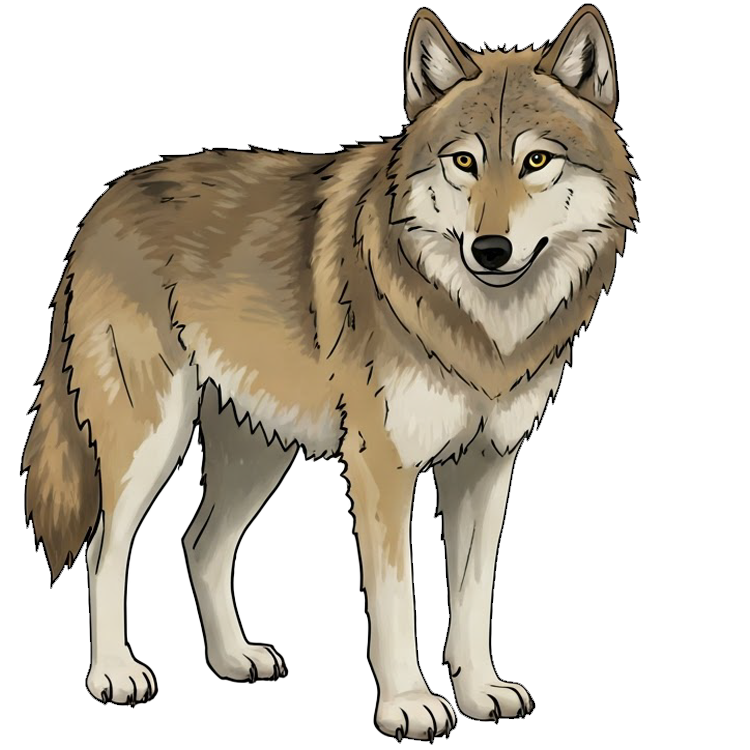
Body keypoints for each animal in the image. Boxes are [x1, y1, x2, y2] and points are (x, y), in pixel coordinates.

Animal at [23, 5, 635, 739]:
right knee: (106, 548)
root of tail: (106, 202)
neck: (480, 328)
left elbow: (473, 594)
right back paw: (116, 673)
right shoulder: (383, 466)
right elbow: (397, 601)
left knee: (199, 542)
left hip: (257, 453)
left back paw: (234, 659)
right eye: (464, 162)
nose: (490, 249)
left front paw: (480, 690)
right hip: (150, 439)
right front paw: (408, 705)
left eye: (537, 160)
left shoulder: (487, 463)